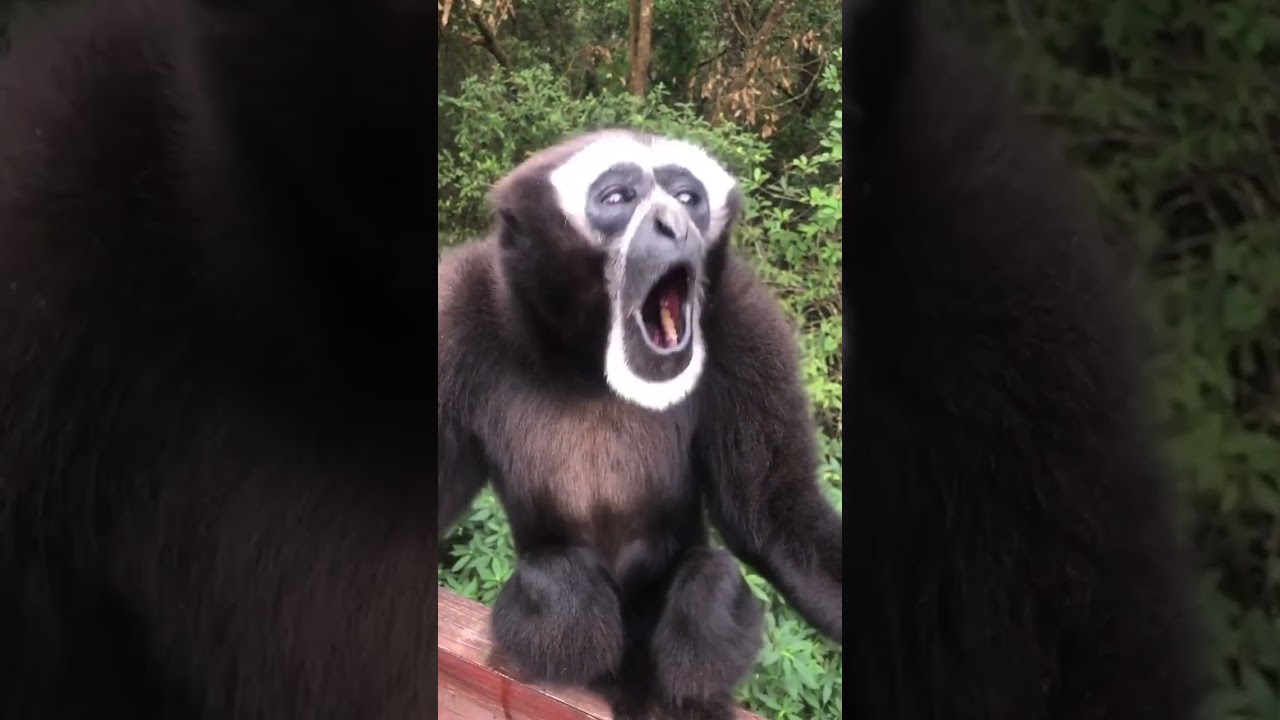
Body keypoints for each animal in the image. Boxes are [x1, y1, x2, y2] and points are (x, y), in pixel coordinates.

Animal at [437, 129, 844, 720]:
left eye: (687, 197)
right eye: (618, 198)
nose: (673, 223)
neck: (588, 368)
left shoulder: (744, 319)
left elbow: (775, 518)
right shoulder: (454, 312)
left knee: (711, 581)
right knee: (559, 587)